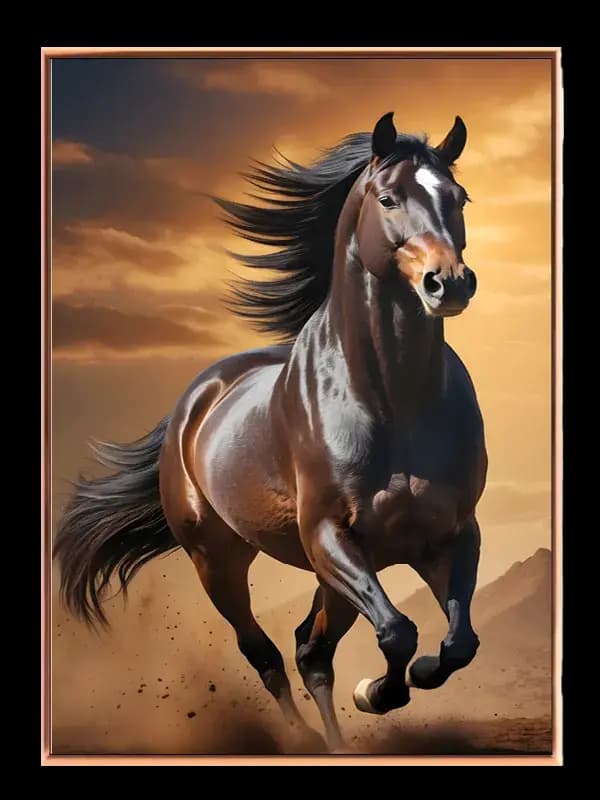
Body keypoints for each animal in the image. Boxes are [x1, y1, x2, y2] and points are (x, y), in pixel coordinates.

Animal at [54, 112, 487, 753]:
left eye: (458, 197)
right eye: (387, 198)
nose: (449, 284)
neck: (396, 403)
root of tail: (196, 398)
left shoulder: (449, 535)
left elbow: (456, 644)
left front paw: (397, 685)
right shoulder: (329, 535)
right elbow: (398, 632)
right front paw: (379, 692)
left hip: (329, 573)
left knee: (312, 648)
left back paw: (335, 741)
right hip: (218, 559)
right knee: (266, 652)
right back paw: (304, 737)